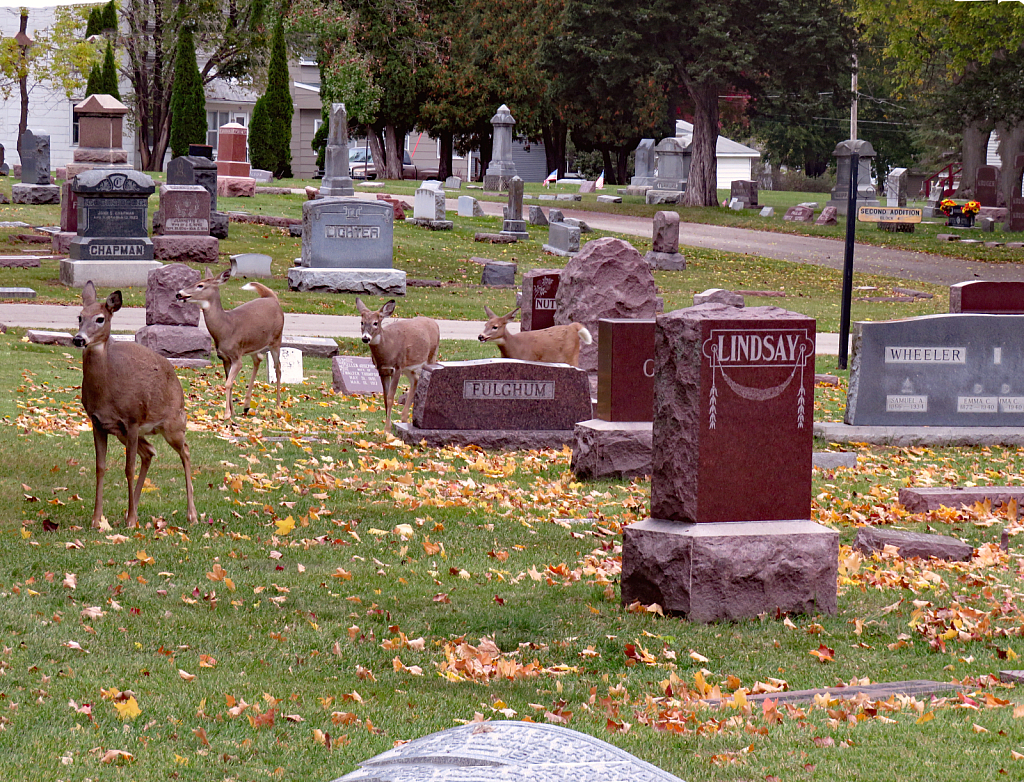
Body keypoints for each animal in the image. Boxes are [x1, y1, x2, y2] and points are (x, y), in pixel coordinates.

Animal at [74, 278, 197, 528]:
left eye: (100, 318)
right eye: (79, 316)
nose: (79, 339)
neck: (108, 388)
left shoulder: (131, 419)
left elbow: (128, 468)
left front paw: (130, 521)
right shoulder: (98, 422)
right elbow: (100, 468)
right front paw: (96, 520)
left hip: (172, 423)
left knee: (186, 451)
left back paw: (191, 515)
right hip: (127, 432)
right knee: (149, 452)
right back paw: (133, 510)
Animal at [176, 268, 286, 417]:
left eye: (200, 285)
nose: (179, 293)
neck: (225, 328)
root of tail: (273, 298)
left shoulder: (236, 356)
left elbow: (228, 383)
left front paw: (227, 413)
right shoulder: (225, 358)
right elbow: (229, 382)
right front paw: (232, 411)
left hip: (276, 339)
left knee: (278, 367)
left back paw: (279, 406)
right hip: (253, 345)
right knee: (258, 359)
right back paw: (246, 406)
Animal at [354, 296, 438, 429]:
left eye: (375, 323)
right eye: (362, 322)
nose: (365, 338)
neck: (387, 350)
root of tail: (435, 323)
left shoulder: (397, 368)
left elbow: (390, 397)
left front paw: (387, 429)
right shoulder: (382, 370)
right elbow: (385, 396)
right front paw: (386, 427)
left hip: (431, 356)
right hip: (408, 366)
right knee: (415, 380)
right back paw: (404, 418)